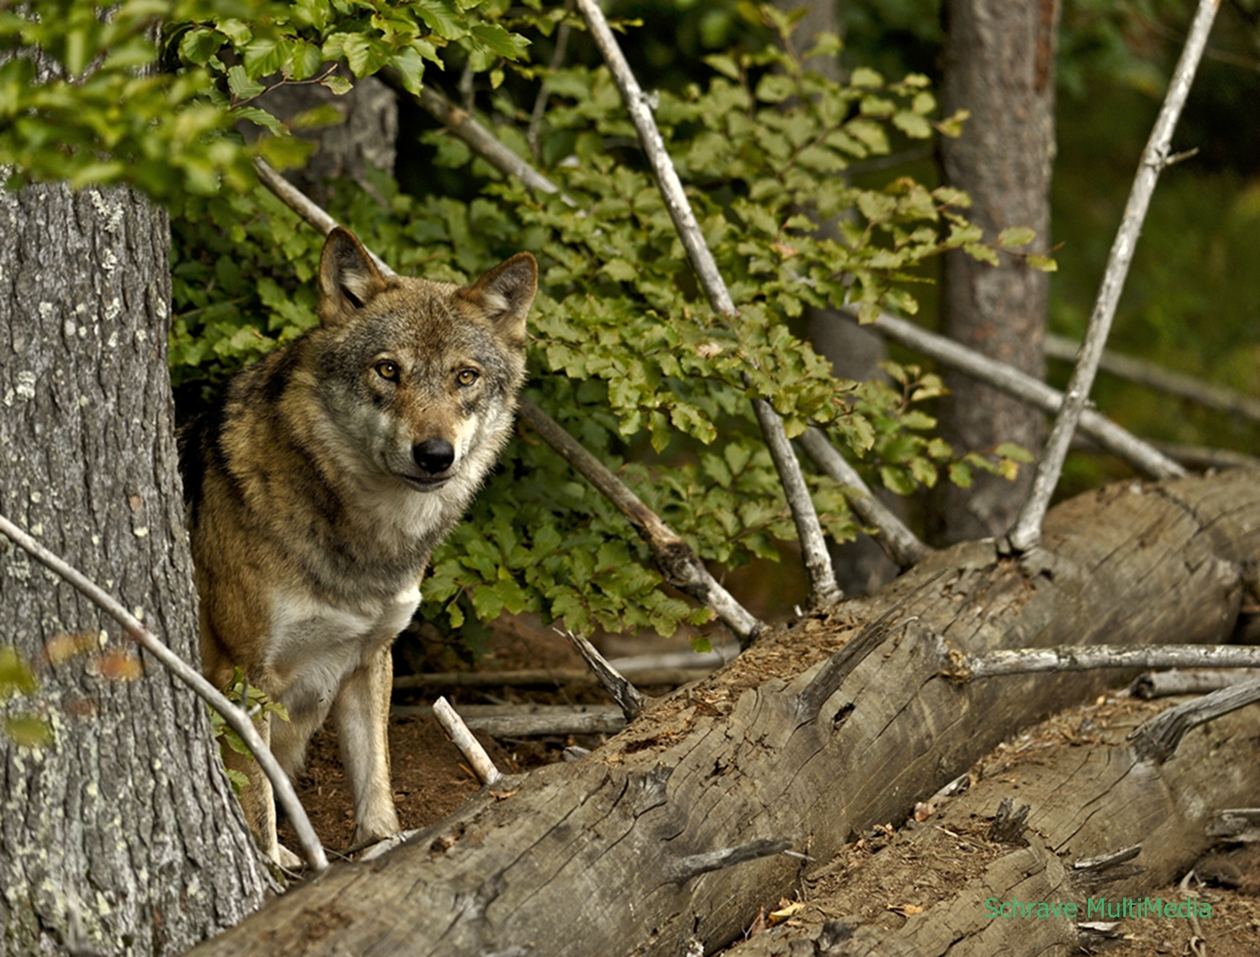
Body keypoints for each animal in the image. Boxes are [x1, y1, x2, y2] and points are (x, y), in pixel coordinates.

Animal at [179, 228, 536, 866]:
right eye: (388, 370)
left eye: (465, 377)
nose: (435, 455)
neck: (368, 543)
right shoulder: (243, 676)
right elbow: (256, 802)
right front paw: (271, 868)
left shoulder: (370, 657)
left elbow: (375, 778)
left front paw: (382, 846)